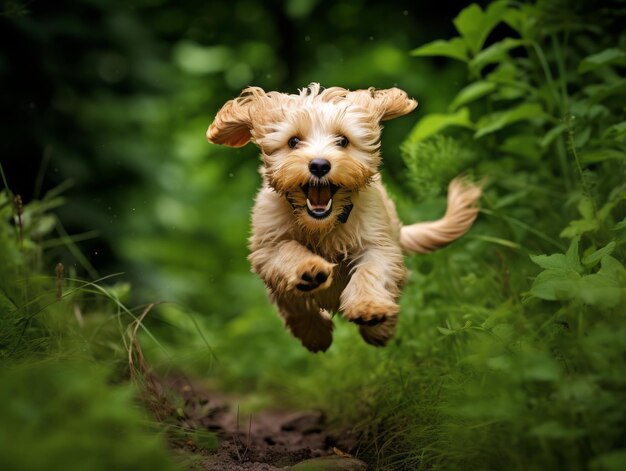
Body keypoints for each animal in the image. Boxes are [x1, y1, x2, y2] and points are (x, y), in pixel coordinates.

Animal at [205, 83, 478, 352]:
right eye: (293, 141)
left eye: (343, 141)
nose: (319, 165)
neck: (324, 225)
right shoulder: (266, 248)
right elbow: (288, 256)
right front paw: (309, 273)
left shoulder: (379, 243)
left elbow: (371, 271)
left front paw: (370, 309)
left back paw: (380, 328)